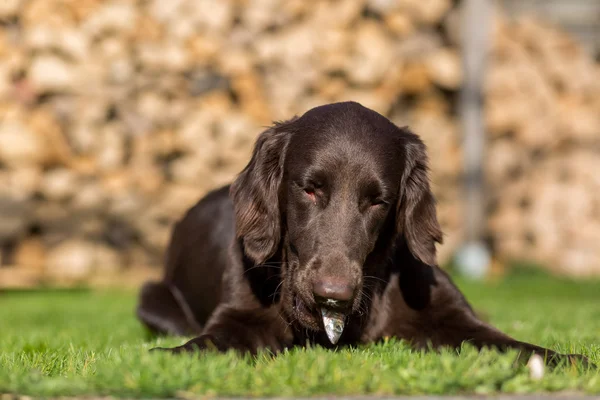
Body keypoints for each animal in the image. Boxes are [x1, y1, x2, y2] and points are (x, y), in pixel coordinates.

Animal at [135, 101, 584, 368]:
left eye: (378, 201)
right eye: (310, 189)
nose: (332, 296)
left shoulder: (450, 317)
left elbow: (516, 345)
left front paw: (573, 360)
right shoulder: (241, 317)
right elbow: (207, 344)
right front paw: (163, 358)